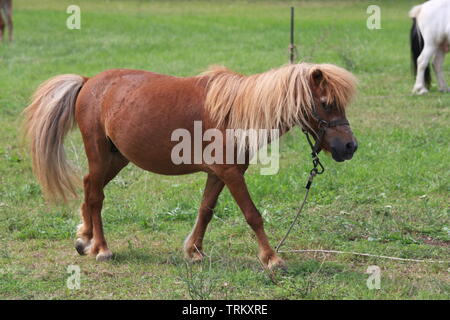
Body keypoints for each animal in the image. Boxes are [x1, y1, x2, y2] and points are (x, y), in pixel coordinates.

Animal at [23, 62, 356, 268]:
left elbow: (205, 211)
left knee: (89, 185)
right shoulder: (232, 175)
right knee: (96, 196)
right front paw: (272, 258)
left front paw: (194, 251)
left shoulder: (219, 174)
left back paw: (85, 238)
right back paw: (102, 248)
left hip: (117, 158)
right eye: (326, 103)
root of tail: (89, 82)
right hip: (100, 154)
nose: (350, 146)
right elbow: (253, 215)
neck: (236, 113)